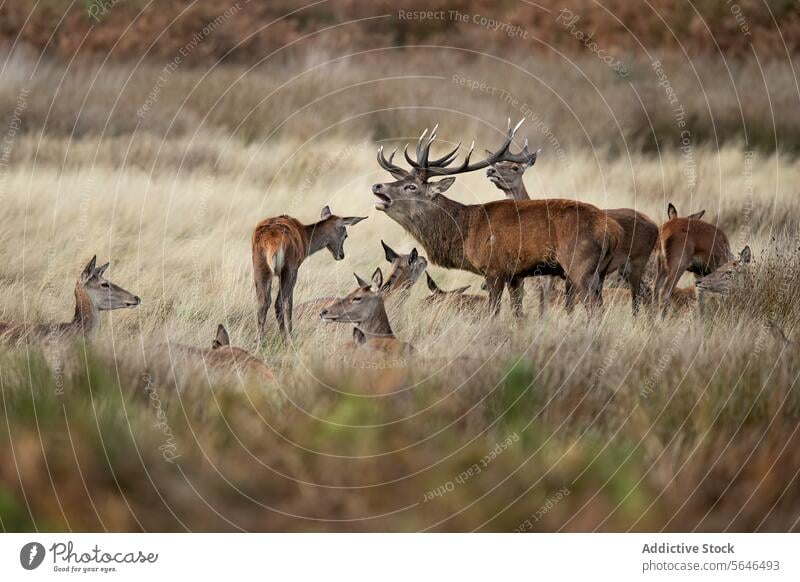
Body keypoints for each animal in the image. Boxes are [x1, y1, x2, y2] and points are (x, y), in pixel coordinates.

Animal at [252, 208, 368, 340]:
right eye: (346, 235)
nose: (341, 255)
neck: (305, 238)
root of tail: (271, 241)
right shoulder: (295, 269)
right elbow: (289, 303)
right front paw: (292, 333)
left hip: (260, 267)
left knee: (263, 303)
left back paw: (259, 341)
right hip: (287, 269)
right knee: (279, 303)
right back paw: (286, 339)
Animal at [372, 120, 620, 318]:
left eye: (411, 187)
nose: (377, 186)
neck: (466, 233)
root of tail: (613, 231)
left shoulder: (494, 269)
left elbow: (493, 313)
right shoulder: (516, 275)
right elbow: (518, 314)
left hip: (580, 266)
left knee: (594, 310)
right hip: (599, 272)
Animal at [484, 142, 660, 314]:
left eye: (515, 167)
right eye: (497, 163)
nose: (490, 170)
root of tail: (655, 226)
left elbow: (556, 305)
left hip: (636, 262)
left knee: (640, 295)